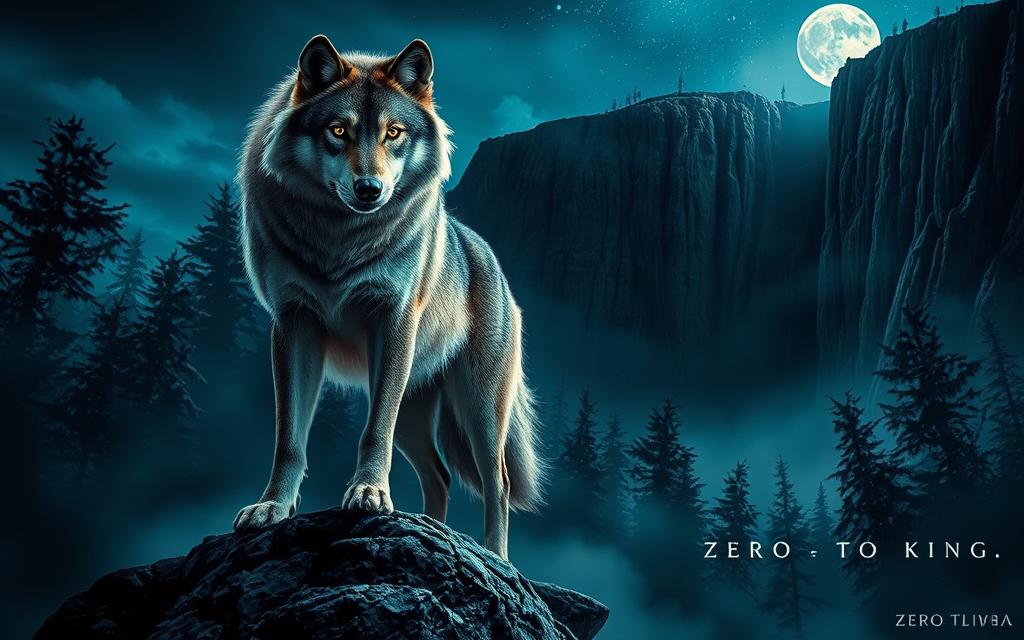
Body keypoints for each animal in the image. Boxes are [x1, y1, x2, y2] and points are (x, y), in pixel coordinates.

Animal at [233, 35, 543, 559]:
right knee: (440, 476)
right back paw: (430, 528)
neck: (339, 240)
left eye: (393, 133)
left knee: (496, 481)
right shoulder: (293, 324)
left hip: (479, 409)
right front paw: (272, 507)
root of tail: (488, 256)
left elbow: (374, 428)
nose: (369, 189)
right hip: (418, 411)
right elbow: (289, 438)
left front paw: (369, 494)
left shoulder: (393, 321)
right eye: (338, 130)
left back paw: (497, 559)